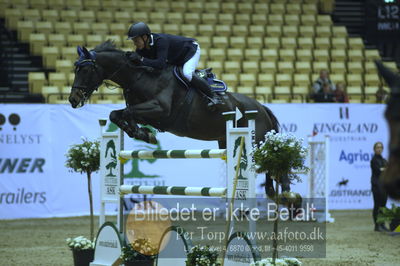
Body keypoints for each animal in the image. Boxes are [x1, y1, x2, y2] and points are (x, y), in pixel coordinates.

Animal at [69, 40, 288, 197]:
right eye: (75, 69)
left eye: (85, 70)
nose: (73, 99)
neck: (140, 76)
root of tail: (260, 107)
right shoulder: (144, 111)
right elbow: (116, 114)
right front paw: (140, 132)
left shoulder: (161, 110)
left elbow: (129, 113)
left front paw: (143, 134)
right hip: (225, 141)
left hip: (257, 140)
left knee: (272, 165)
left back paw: (284, 196)